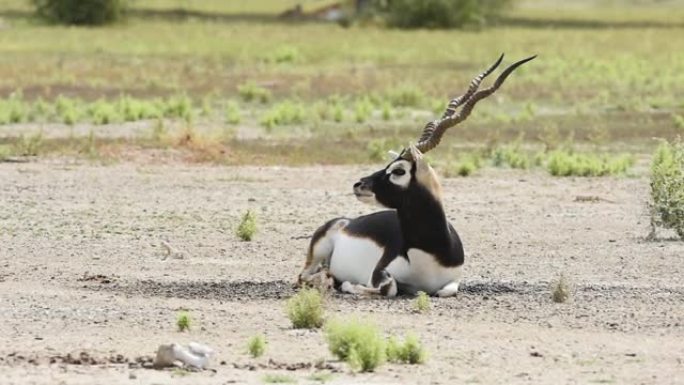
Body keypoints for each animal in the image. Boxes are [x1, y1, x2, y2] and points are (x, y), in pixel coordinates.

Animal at [298, 52, 536, 296]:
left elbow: (444, 290)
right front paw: (348, 285)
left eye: (398, 170)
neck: (430, 253)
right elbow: (389, 287)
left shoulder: (452, 281)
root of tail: (347, 222)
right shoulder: (380, 271)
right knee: (303, 276)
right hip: (318, 251)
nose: (359, 184)